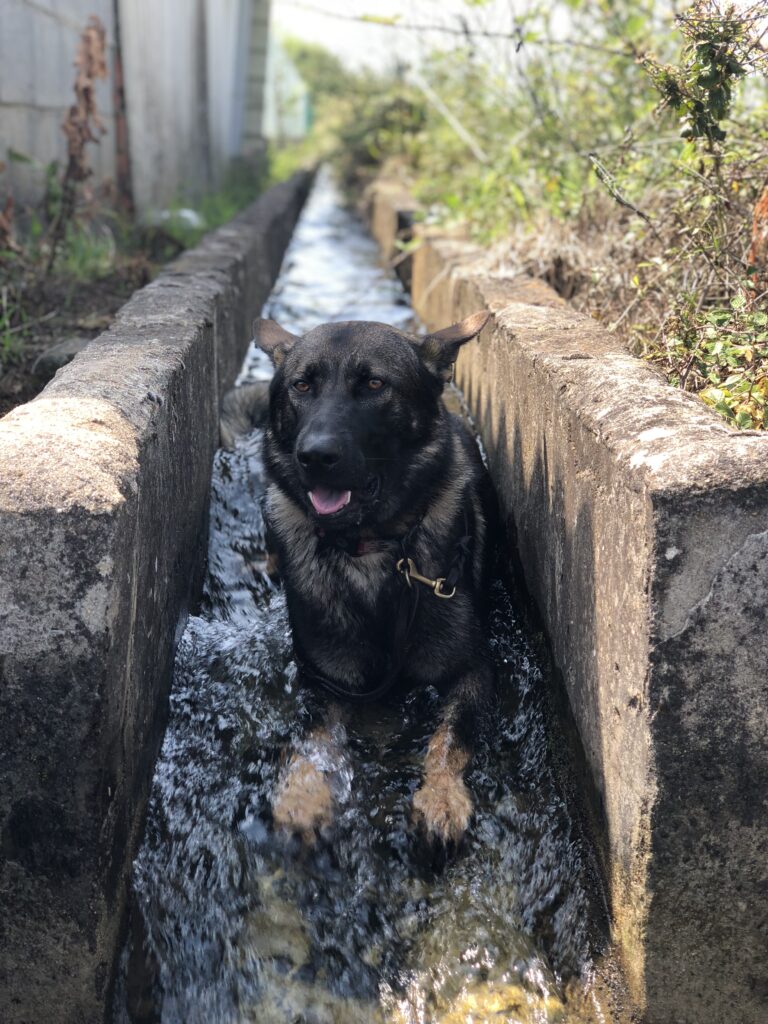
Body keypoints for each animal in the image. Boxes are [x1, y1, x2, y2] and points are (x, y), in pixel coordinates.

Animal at [221, 311, 499, 847]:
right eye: (302, 385)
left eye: (374, 384)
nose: (314, 456)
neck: (370, 548)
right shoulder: (325, 680)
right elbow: (314, 736)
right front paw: (303, 795)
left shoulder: (473, 670)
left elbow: (452, 735)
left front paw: (441, 796)